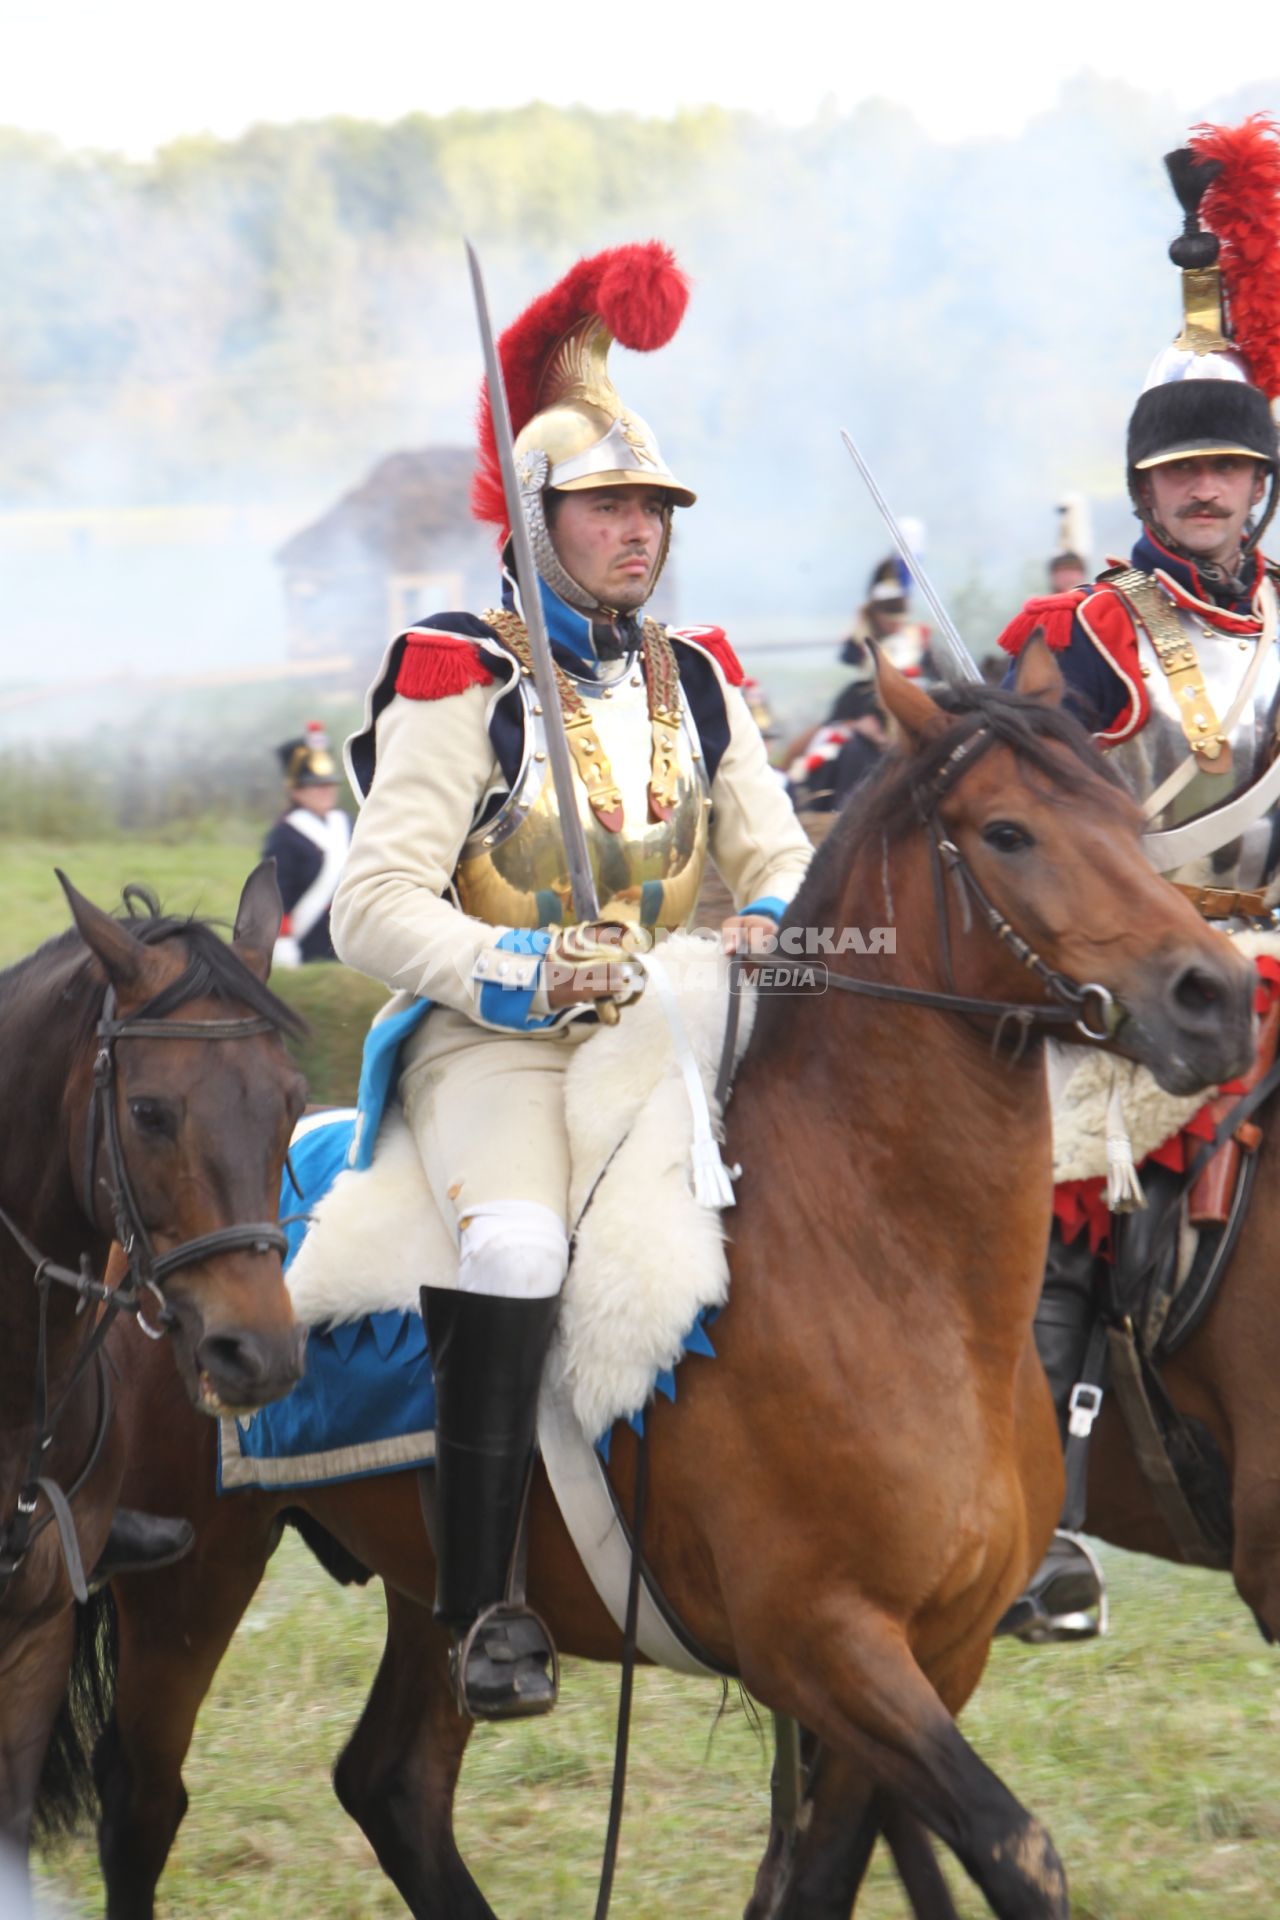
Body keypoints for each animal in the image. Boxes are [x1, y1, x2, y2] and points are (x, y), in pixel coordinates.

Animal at [72, 664, 1251, 1920]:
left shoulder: (936, 1657)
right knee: (142, 1800)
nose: (1215, 996)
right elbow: (1014, 1848)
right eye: (1007, 832)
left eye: (1129, 820)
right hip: (189, 1576)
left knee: (390, 1784)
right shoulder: (826, 1645)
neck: (902, 1282)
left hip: (419, 1596)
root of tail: (139, 1256)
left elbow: (828, 1875)